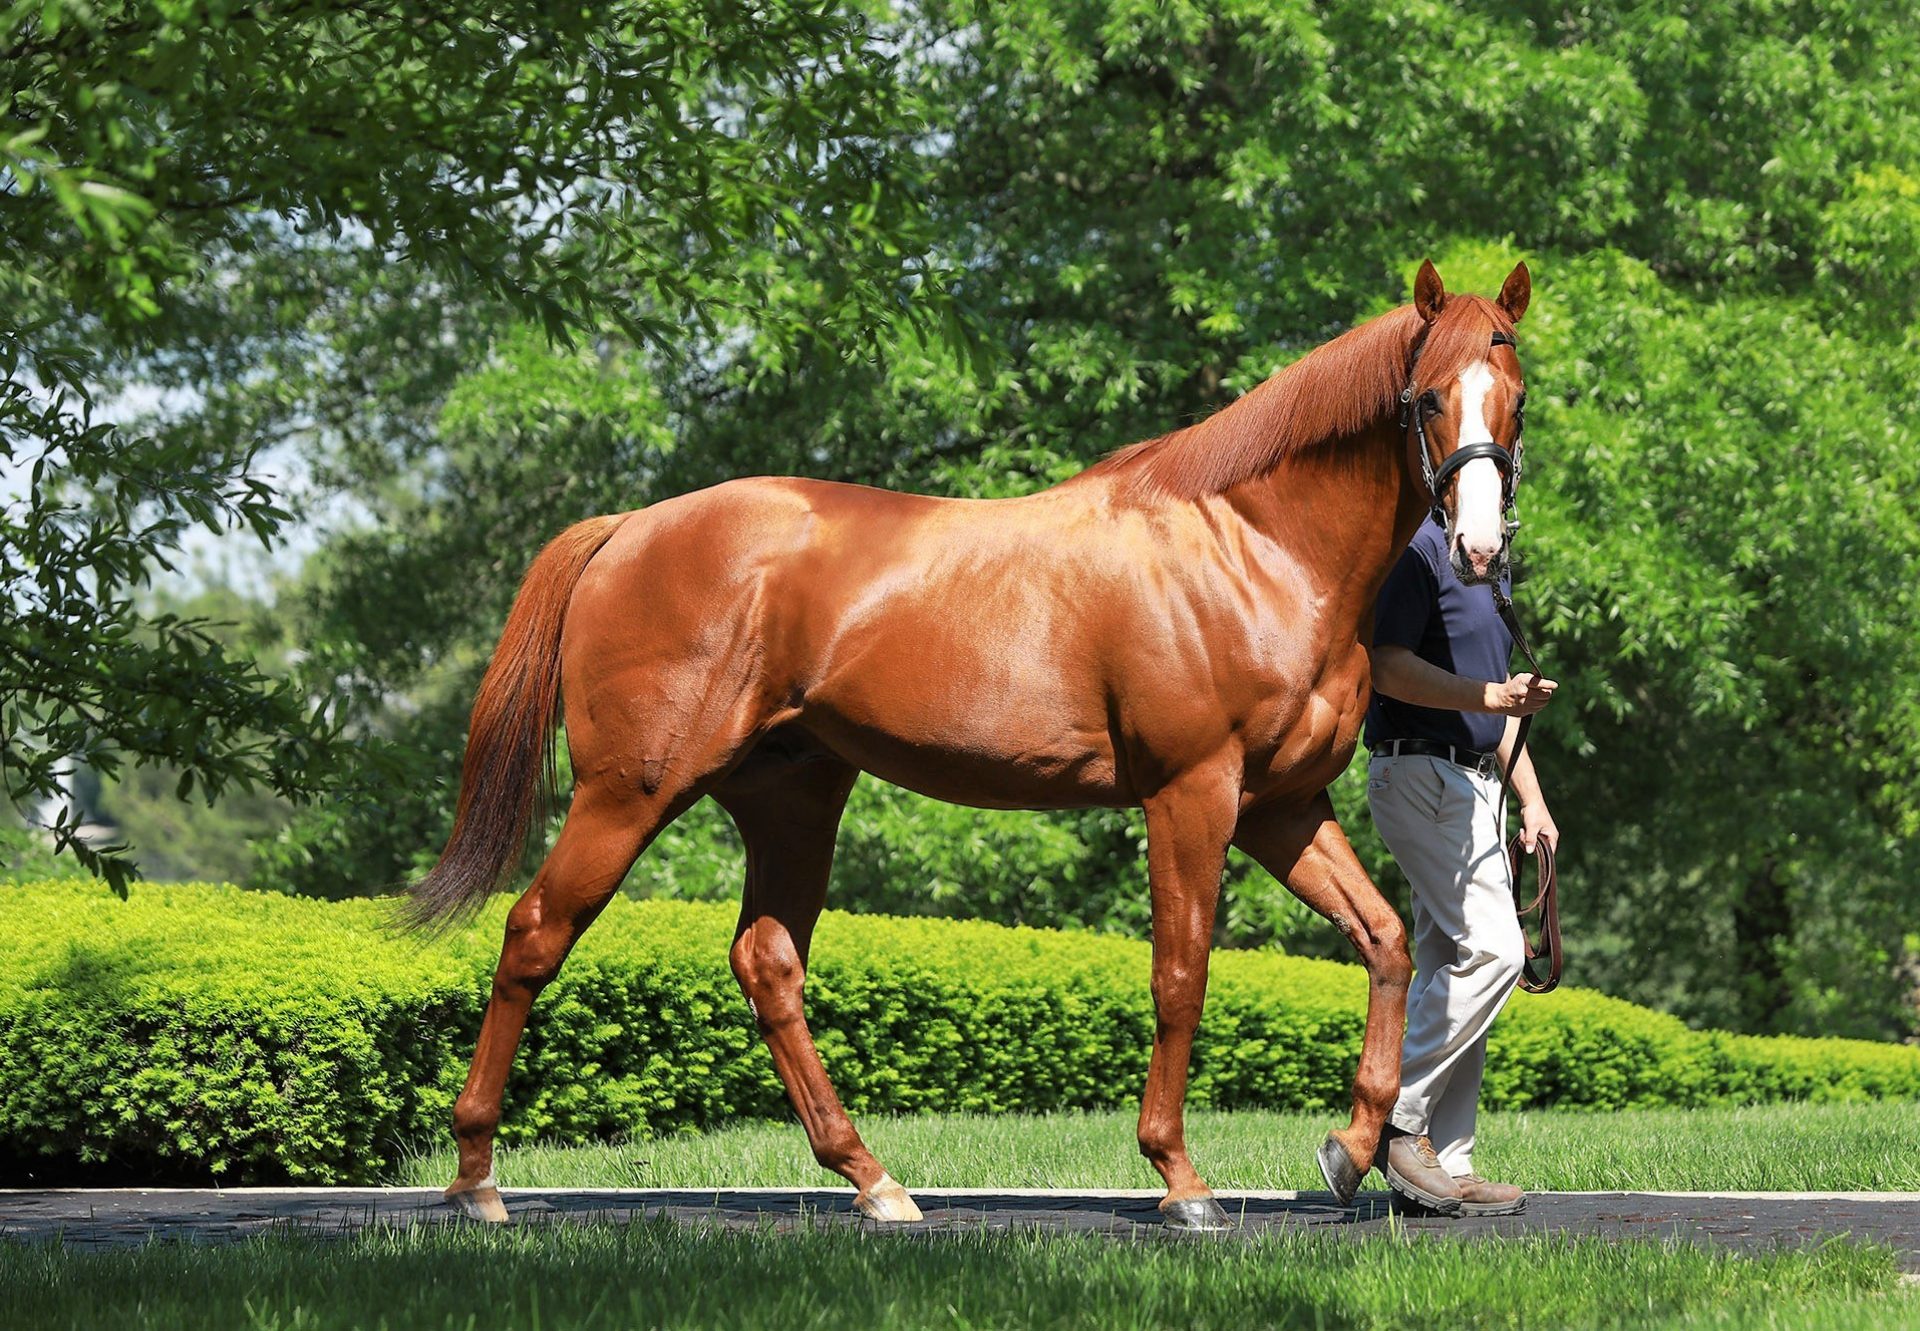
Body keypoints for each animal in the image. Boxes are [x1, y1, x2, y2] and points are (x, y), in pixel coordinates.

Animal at [416, 257, 1528, 1221]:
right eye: (1429, 396)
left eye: (1514, 391)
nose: (1479, 545)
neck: (1248, 545)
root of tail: (628, 527)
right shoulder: (1193, 793)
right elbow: (1181, 974)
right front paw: (1179, 1176)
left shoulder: (1280, 805)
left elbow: (1384, 942)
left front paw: (1351, 1146)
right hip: (631, 790)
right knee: (534, 933)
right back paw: (476, 1178)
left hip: (791, 795)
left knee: (767, 962)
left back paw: (873, 1180)